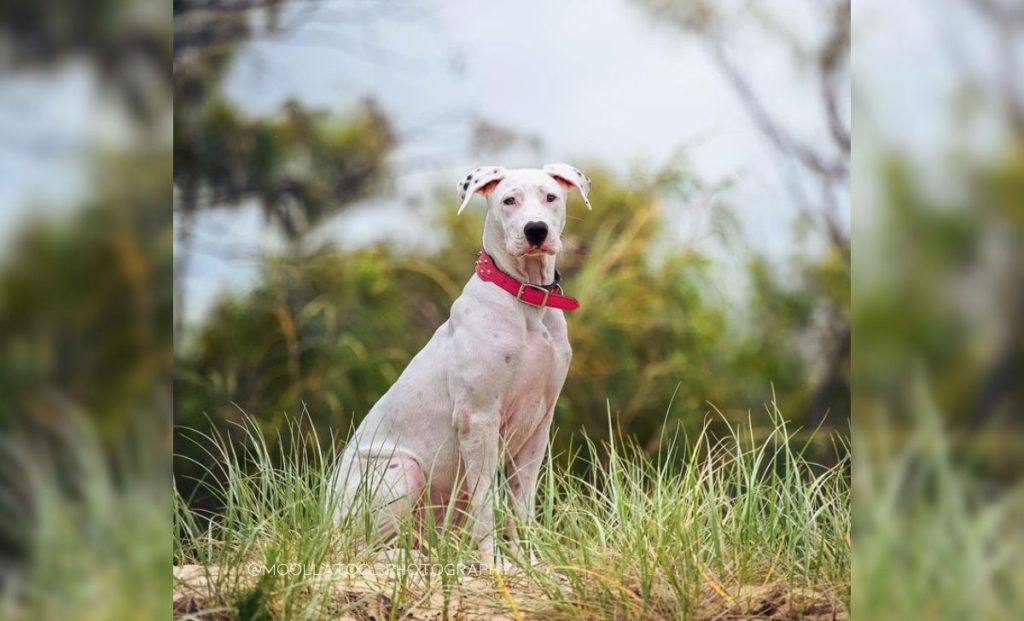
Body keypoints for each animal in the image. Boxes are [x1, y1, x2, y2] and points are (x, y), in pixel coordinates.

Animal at [335, 162, 593, 573]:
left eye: (551, 196)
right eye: (508, 200)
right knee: (356, 547)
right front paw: (493, 565)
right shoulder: (479, 420)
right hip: (402, 469)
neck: (525, 301)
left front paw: (526, 560)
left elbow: (521, 505)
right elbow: (486, 504)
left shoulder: (538, 426)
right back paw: (406, 557)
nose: (536, 230)